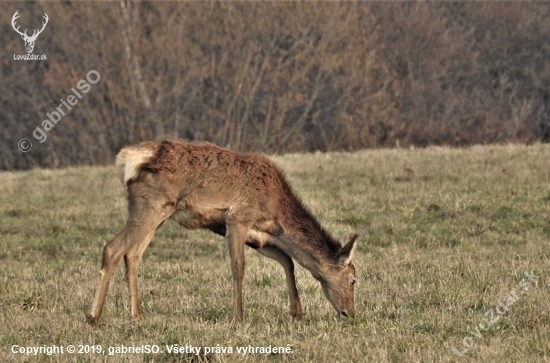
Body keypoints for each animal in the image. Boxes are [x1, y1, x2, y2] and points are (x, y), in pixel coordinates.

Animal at [87, 141, 358, 326]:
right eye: (353, 279)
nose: (351, 314)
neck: (277, 215)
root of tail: (129, 157)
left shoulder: (260, 238)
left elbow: (288, 260)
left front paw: (297, 312)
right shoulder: (238, 218)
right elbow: (238, 267)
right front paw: (239, 317)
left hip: (158, 214)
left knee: (132, 254)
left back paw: (137, 315)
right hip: (150, 205)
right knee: (113, 248)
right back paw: (93, 315)